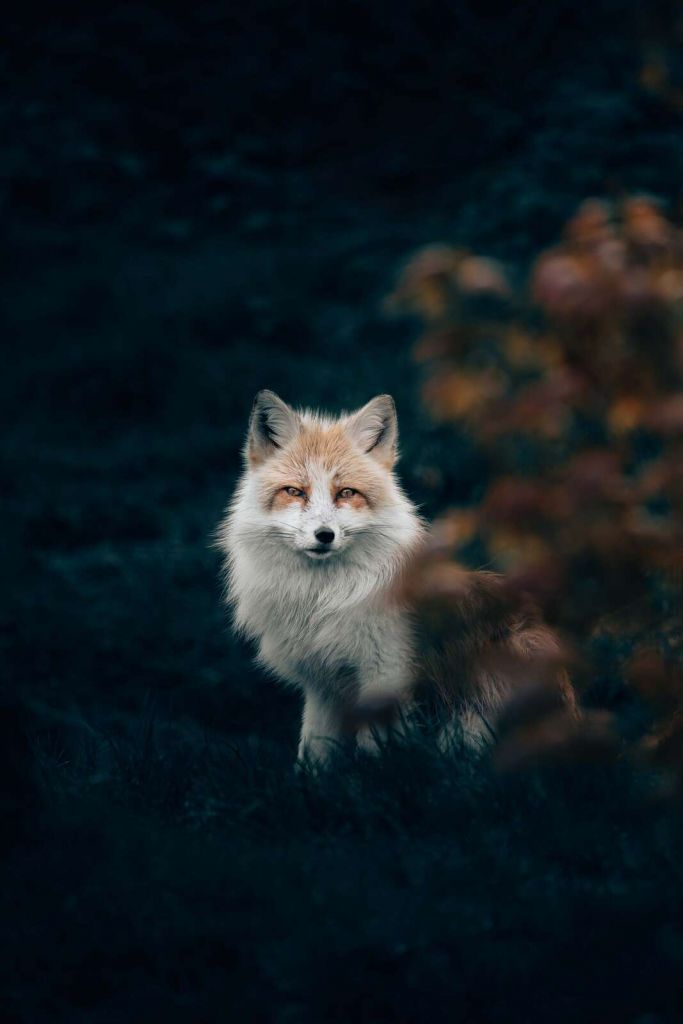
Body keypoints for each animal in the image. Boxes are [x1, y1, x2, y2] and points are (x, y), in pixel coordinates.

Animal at [217, 390, 575, 766]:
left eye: (346, 493)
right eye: (295, 492)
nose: (324, 535)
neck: (323, 600)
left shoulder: (385, 671)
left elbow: (376, 749)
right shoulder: (322, 686)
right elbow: (315, 750)